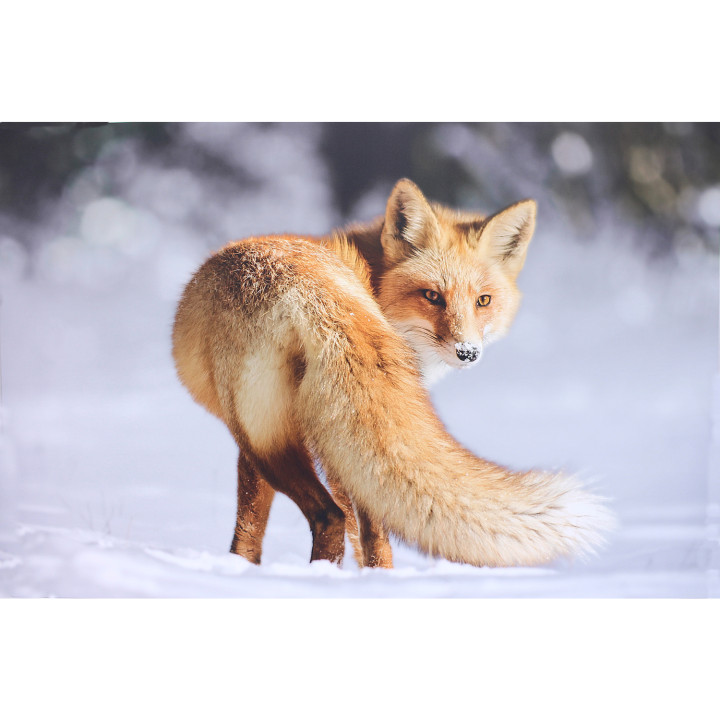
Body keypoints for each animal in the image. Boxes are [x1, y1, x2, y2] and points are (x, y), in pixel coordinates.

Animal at [172, 178, 611, 569]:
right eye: (432, 296)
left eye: (483, 301)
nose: (468, 352)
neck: (371, 280)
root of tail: (315, 293)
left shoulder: (276, 441)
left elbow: (251, 528)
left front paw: (240, 570)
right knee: (342, 519)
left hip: (270, 438)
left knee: (331, 517)